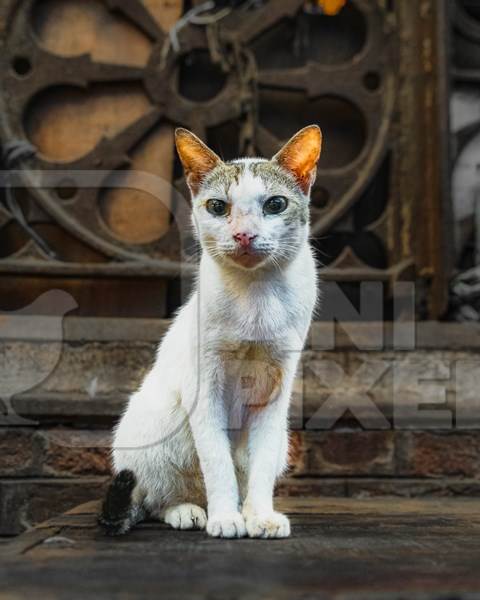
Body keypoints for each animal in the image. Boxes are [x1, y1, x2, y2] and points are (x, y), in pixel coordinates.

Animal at [98, 124, 322, 536]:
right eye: (218, 207)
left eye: (275, 205)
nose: (244, 235)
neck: (255, 296)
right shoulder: (205, 390)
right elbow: (217, 463)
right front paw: (225, 518)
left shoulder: (275, 392)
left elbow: (260, 464)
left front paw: (259, 516)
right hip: (157, 422)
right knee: (154, 498)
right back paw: (190, 511)